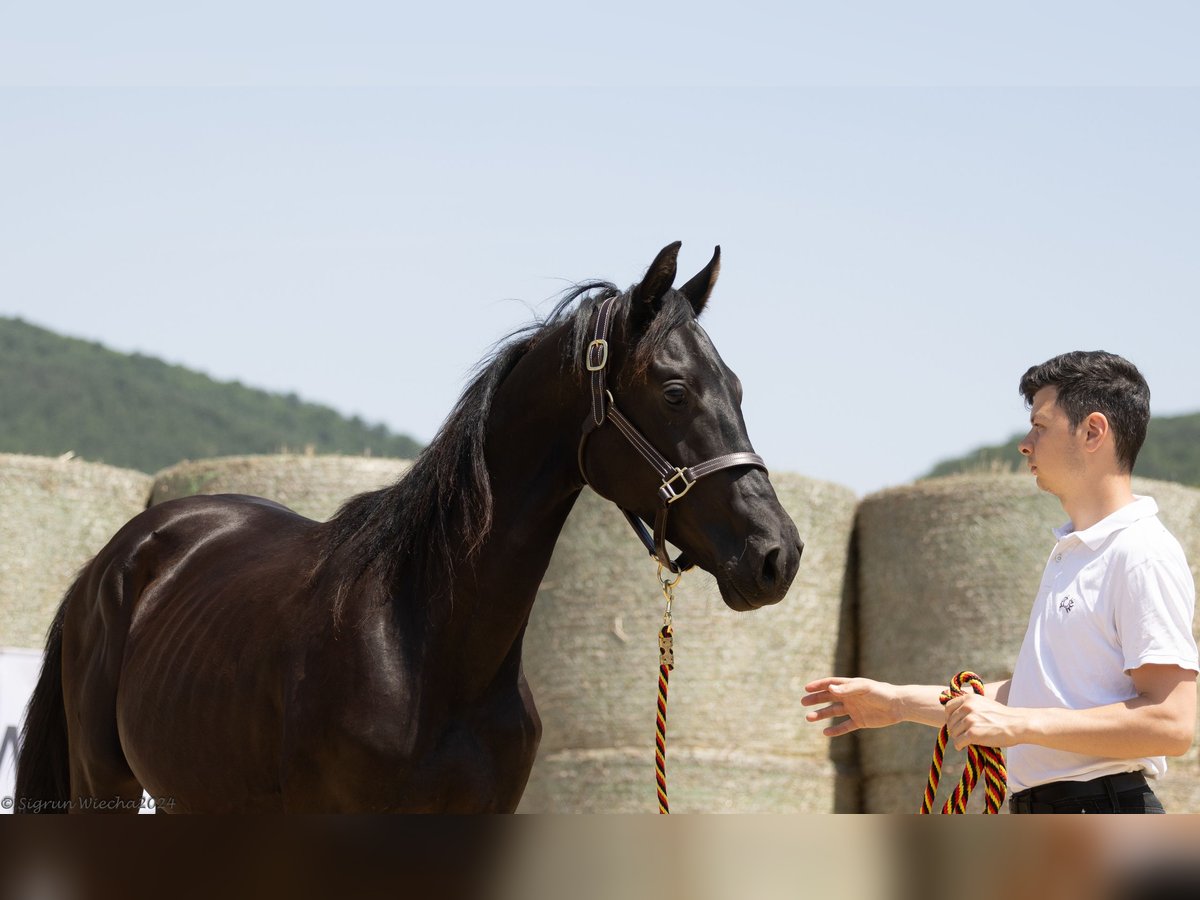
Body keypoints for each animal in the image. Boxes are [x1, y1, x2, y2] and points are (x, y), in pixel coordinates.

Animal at [14, 243, 801, 816]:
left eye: (735, 388)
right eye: (674, 391)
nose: (778, 554)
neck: (427, 643)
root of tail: (115, 560)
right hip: (105, 787)